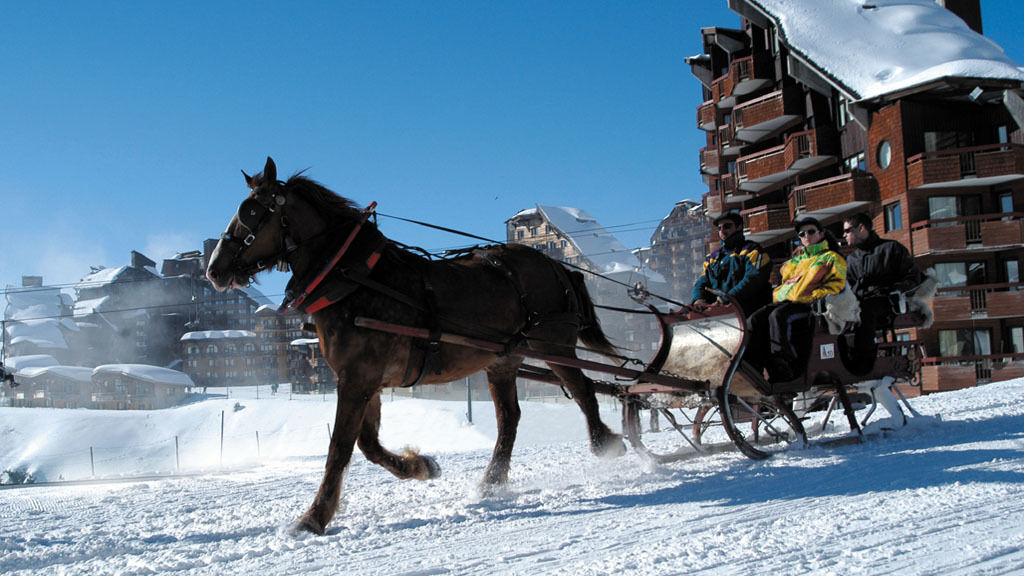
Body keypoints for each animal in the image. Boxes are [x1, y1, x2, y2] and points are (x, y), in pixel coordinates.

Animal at [206, 156, 622, 532]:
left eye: (250, 211)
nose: (214, 269)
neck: (354, 279)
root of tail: (555, 265)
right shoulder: (365, 380)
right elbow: (368, 444)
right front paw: (421, 466)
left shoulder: (358, 378)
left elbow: (340, 448)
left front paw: (314, 517)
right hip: (503, 360)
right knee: (510, 419)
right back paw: (491, 483)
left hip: (553, 345)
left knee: (583, 390)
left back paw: (607, 443)